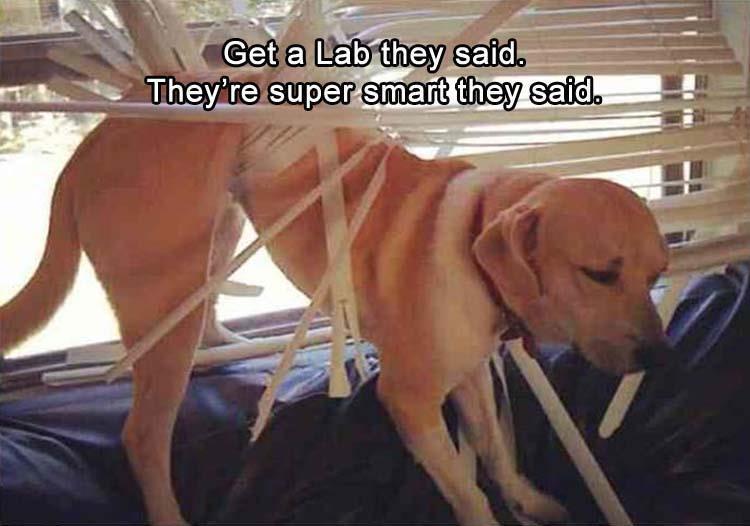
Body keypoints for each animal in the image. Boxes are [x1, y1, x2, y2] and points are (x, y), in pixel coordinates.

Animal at [0, 92, 669, 524]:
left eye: (658, 274)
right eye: (600, 274)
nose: (660, 358)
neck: (472, 244)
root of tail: (85, 149)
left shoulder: (471, 376)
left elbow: (496, 456)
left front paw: (531, 503)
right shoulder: (409, 400)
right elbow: (466, 490)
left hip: (216, 240)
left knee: (209, 332)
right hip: (171, 293)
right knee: (142, 437)